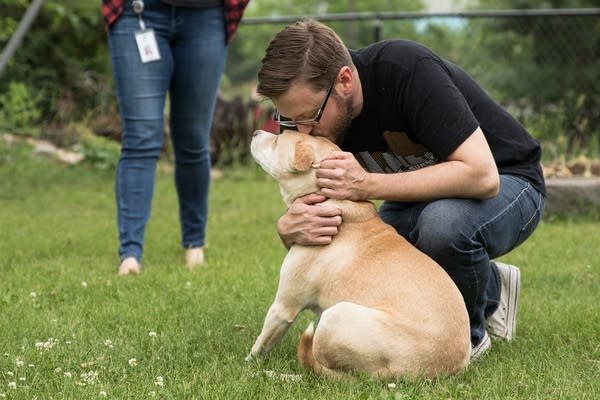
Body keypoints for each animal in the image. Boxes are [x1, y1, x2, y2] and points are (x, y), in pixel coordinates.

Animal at [246, 130, 472, 378]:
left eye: (278, 139)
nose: (256, 132)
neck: (332, 199)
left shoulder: (283, 307)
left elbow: (261, 344)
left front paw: (248, 366)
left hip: (334, 316)